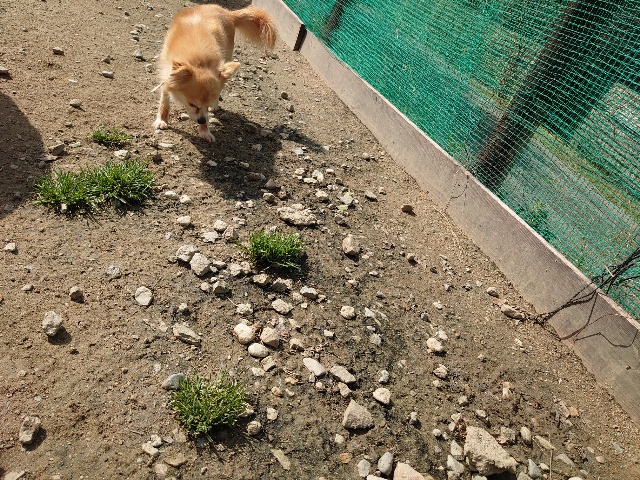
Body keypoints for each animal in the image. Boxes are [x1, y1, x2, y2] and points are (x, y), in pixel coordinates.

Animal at [153, 5, 276, 142]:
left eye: (207, 106)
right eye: (192, 104)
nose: (201, 120)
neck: (199, 62)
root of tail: (228, 12)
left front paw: (205, 131)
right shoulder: (166, 76)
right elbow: (164, 102)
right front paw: (162, 120)